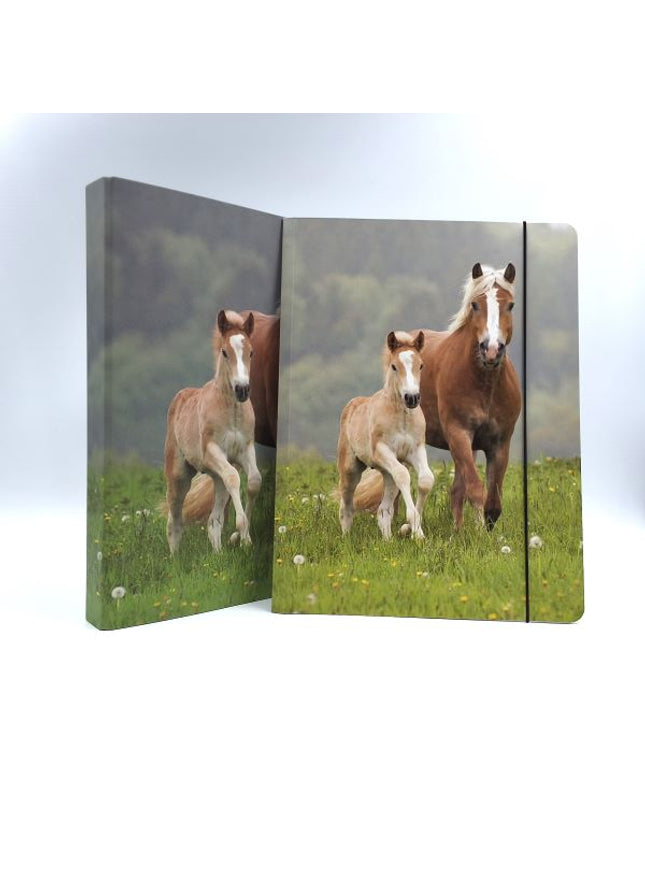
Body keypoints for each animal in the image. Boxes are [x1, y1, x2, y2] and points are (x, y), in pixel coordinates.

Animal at [168, 309, 279, 526]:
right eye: (225, 352)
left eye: (252, 353)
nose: (242, 390)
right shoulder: (214, 450)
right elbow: (233, 478)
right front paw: (240, 528)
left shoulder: (246, 447)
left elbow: (254, 481)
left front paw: (242, 531)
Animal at [337, 330, 435, 540]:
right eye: (394, 366)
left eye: (421, 365)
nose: (412, 398)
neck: (402, 417)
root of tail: (352, 404)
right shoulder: (381, 451)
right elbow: (404, 475)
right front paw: (414, 528)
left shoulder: (416, 450)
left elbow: (425, 480)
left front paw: (413, 530)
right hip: (350, 468)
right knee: (346, 504)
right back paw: (346, 539)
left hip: (386, 473)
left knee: (384, 509)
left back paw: (388, 540)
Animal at [353, 263, 521, 529]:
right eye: (475, 304)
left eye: (511, 305)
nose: (491, 350)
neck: (484, 385)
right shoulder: (458, 434)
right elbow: (475, 489)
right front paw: (479, 533)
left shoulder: (500, 443)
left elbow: (492, 501)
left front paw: (482, 530)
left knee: (456, 490)